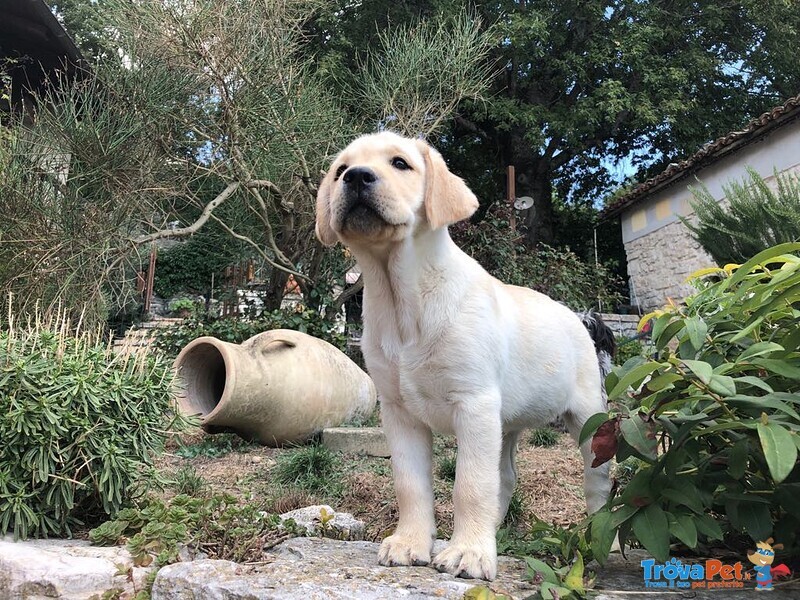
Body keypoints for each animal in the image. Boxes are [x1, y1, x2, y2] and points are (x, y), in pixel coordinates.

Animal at [316, 132, 608, 580]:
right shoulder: (399, 413)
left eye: (400, 163)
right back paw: (493, 533)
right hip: (504, 423)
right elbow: (411, 483)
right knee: (505, 477)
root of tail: (578, 316)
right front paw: (412, 543)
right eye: (340, 170)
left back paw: (601, 540)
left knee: (597, 482)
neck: (402, 298)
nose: (357, 177)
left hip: (587, 417)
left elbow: (470, 484)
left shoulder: (474, 404)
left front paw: (468, 552)